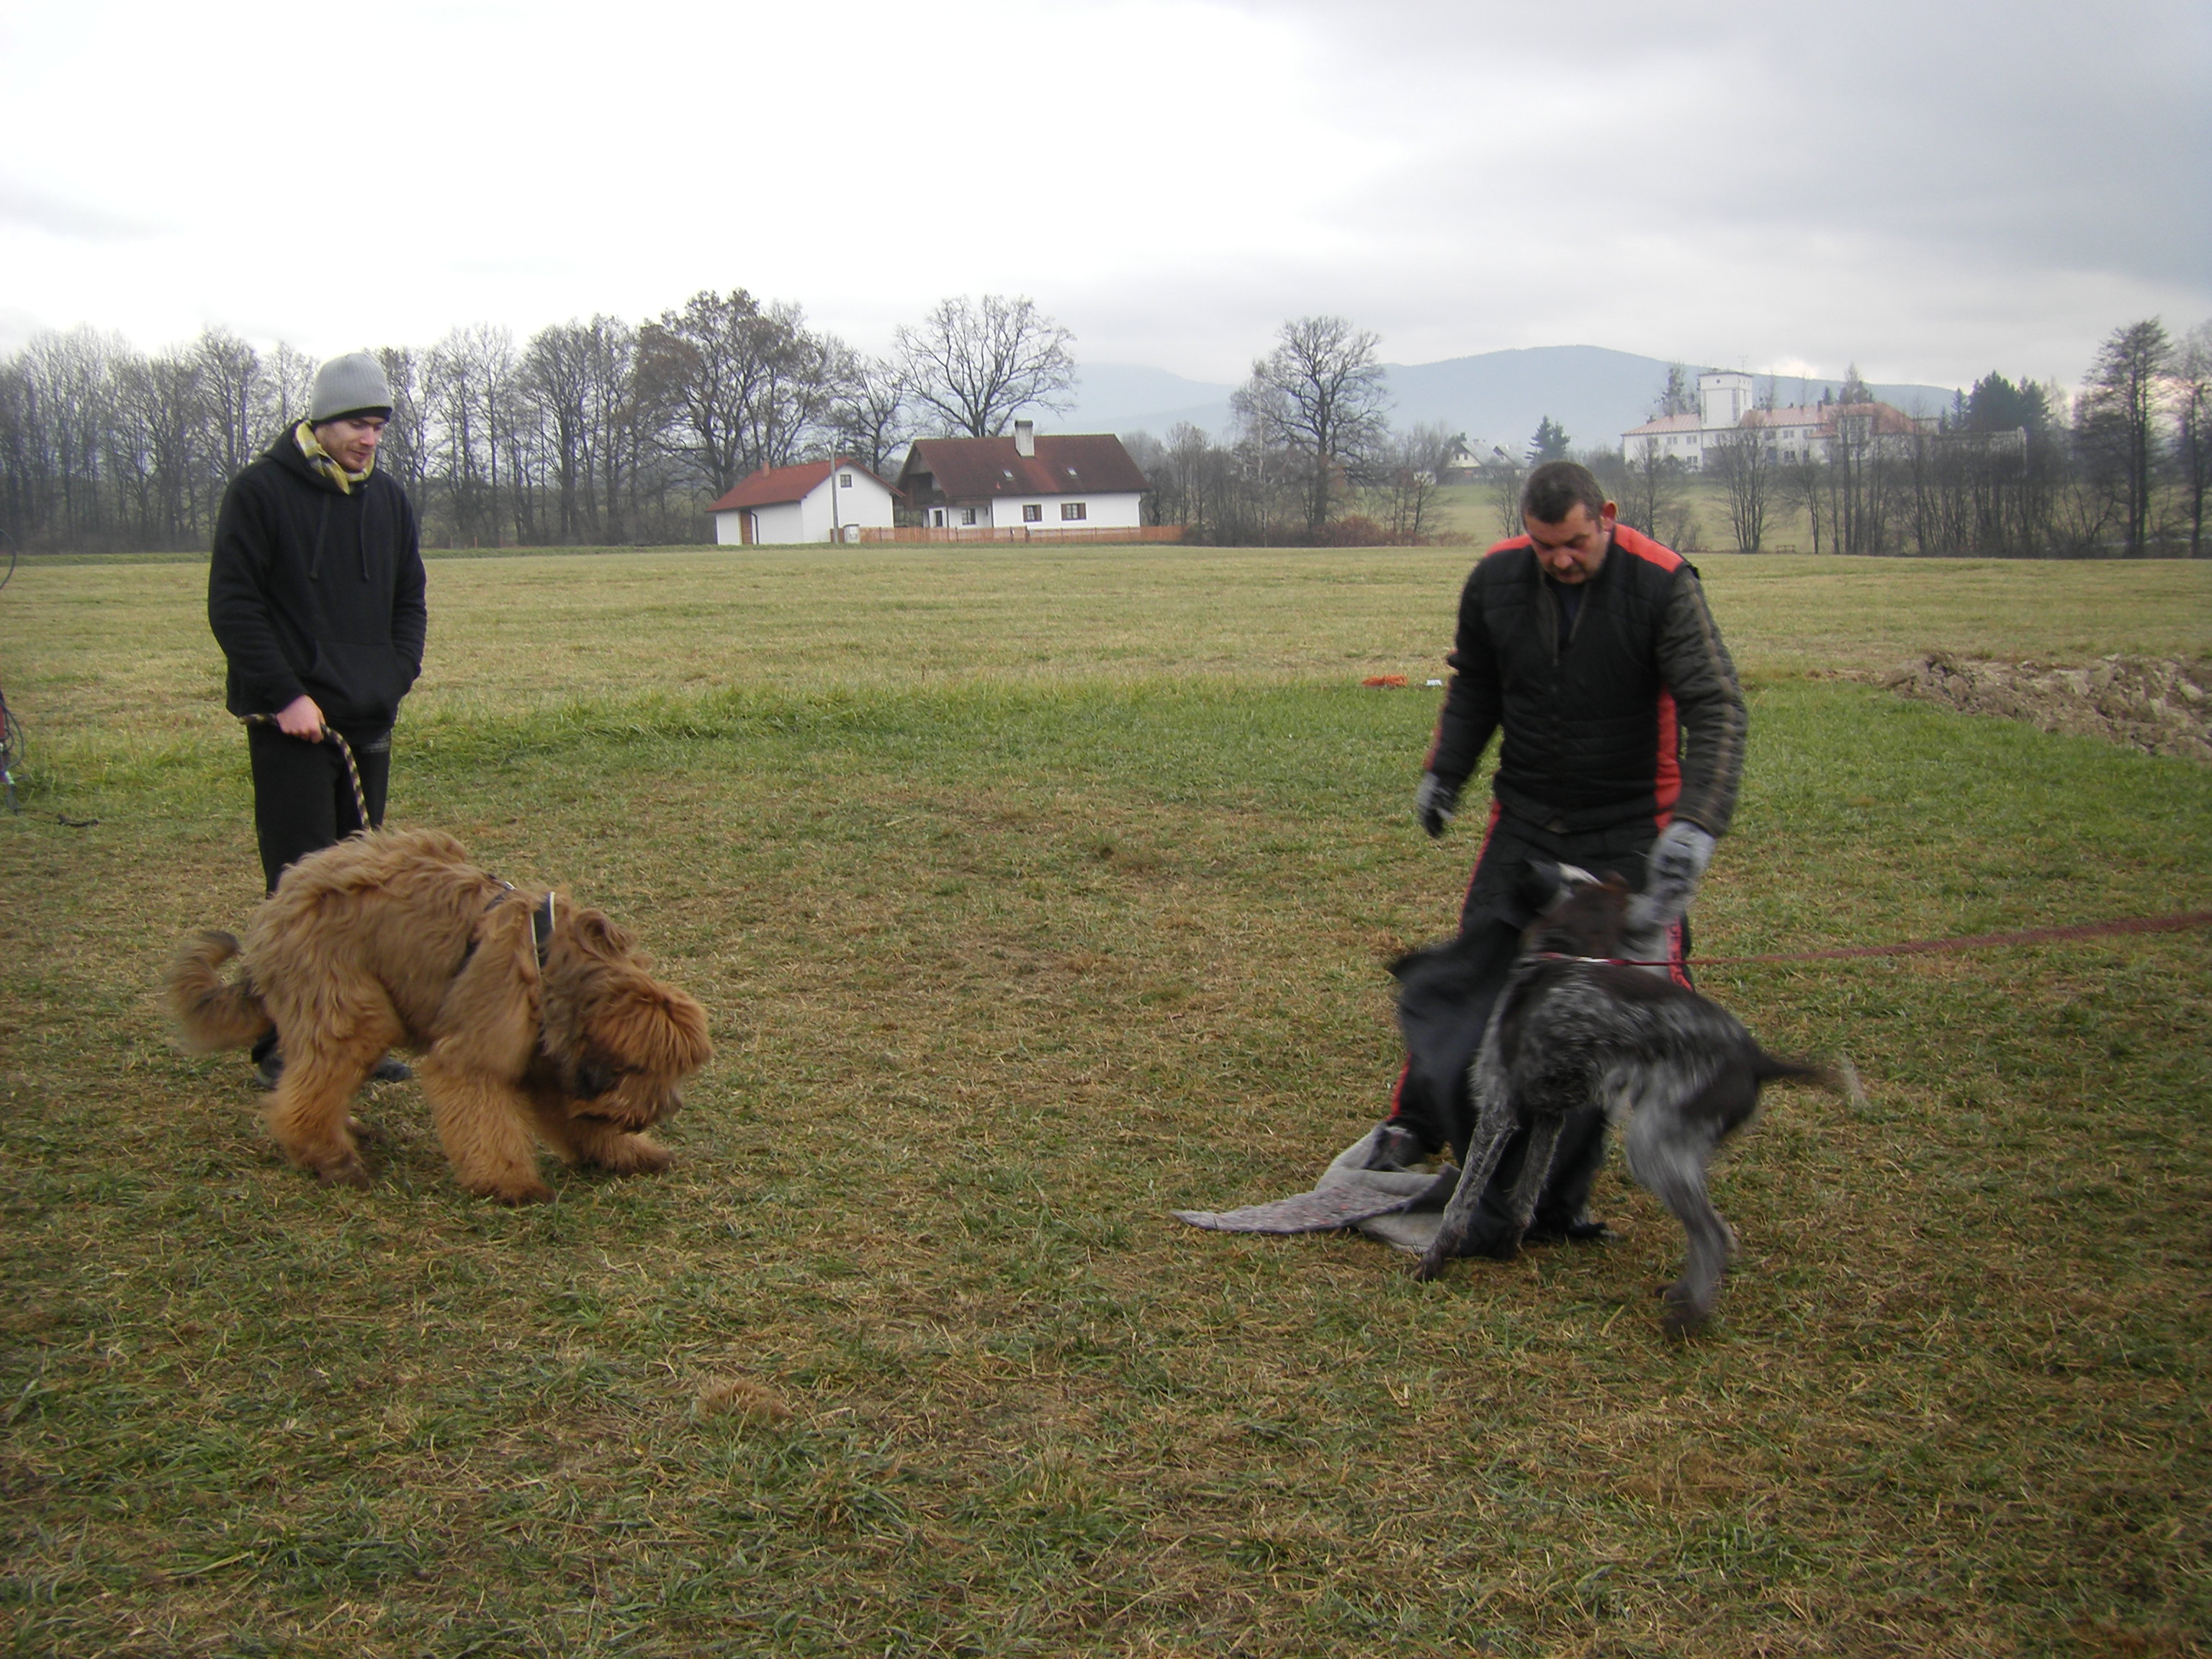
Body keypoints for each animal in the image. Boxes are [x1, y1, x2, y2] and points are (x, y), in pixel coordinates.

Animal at [169, 832, 712, 1212]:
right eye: (648, 1071)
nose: (668, 1109)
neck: (551, 964)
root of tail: (279, 897)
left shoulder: (549, 1059)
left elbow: (576, 1116)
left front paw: (623, 1153)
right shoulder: (477, 1055)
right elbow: (486, 1119)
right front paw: (509, 1182)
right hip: (350, 1006)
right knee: (312, 1088)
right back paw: (329, 1156)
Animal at [1406, 871, 1858, 1336]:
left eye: (1573, 880)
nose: (1535, 869)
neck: (1558, 956)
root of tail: (1757, 1060)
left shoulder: (1498, 1111)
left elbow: (1460, 1202)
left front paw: (1435, 1261)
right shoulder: (1551, 1116)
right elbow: (1526, 1193)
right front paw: (1509, 1245)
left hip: (1652, 1148)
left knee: (1714, 1235)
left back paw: (1687, 1315)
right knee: (1712, 1234)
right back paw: (1683, 1295)